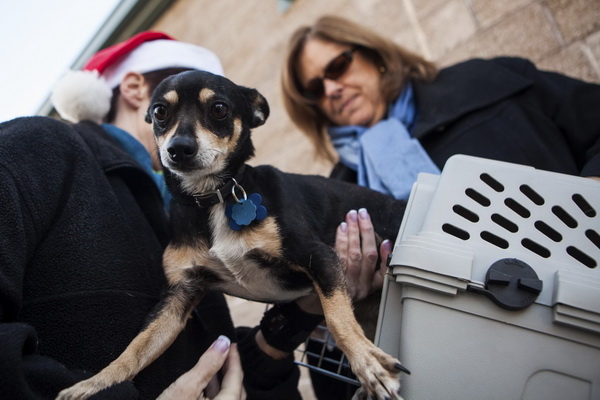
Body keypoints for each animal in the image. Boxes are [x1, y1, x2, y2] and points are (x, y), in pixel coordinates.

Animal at [57, 70, 408, 398]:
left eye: (219, 109)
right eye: (159, 111)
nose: (178, 148)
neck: (213, 198)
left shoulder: (319, 256)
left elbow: (337, 317)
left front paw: (368, 364)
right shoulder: (178, 296)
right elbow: (136, 347)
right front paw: (95, 384)